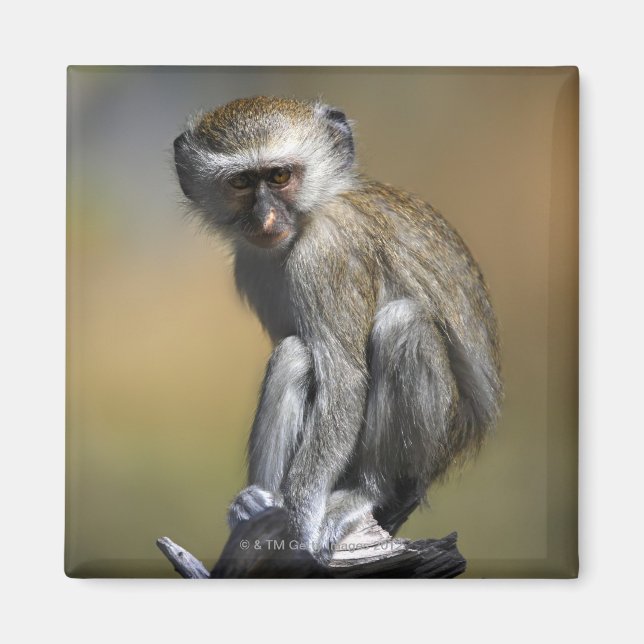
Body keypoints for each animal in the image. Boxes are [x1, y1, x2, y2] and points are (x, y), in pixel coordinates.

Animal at [173, 96, 503, 562]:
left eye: (280, 176)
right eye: (241, 182)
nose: (265, 218)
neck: (311, 216)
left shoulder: (326, 254)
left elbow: (345, 380)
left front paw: (299, 521)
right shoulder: (251, 265)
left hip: (437, 444)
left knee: (402, 326)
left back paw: (367, 491)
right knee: (294, 354)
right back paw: (256, 502)